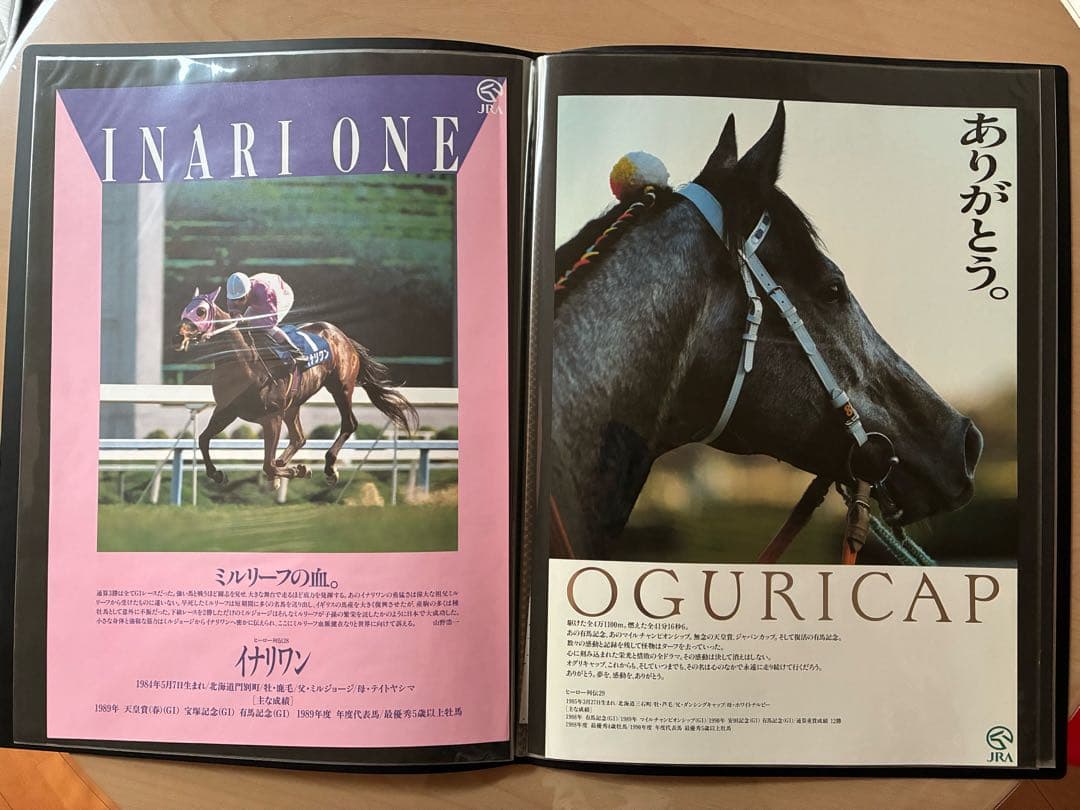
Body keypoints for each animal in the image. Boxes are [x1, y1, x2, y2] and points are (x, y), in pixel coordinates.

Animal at [173, 288, 417, 488]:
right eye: (184, 309)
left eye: (201, 311)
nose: (179, 335)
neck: (246, 362)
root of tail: (342, 337)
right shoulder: (226, 411)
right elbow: (203, 439)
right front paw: (217, 474)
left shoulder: (272, 417)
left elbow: (267, 464)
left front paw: (296, 470)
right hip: (294, 403)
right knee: (299, 438)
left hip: (341, 387)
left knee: (349, 424)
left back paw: (328, 469)